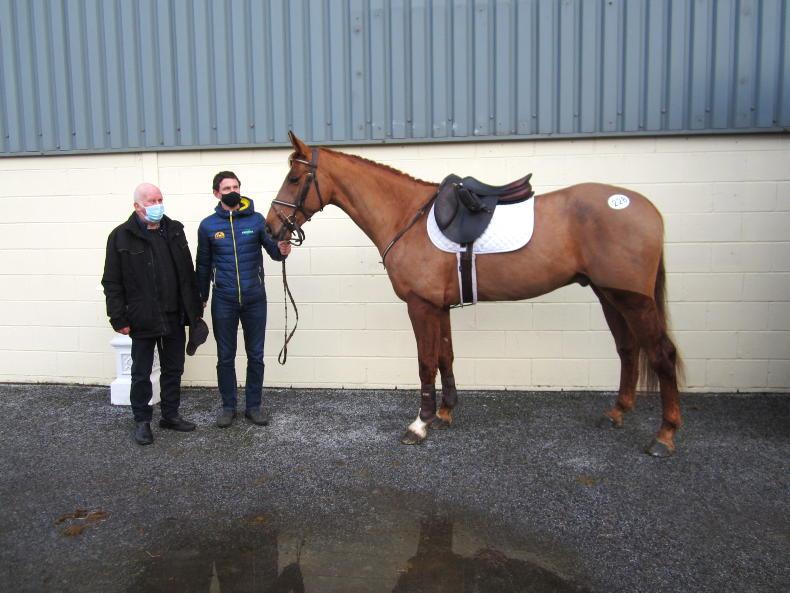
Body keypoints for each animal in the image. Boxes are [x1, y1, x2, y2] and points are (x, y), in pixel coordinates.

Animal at [265, 132, 683, 457]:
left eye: (294, 177)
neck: (405, 216)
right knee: (628, 349)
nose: (272, 230)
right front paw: (445, 414)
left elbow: (425, 363)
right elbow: (445, 356)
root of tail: (646, 208)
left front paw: (419, 425)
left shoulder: (420, 306)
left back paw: (664, 436)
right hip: (609, 294)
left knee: (661, 354)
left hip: (633, 300)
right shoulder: (439, 307)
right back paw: (617, 413)